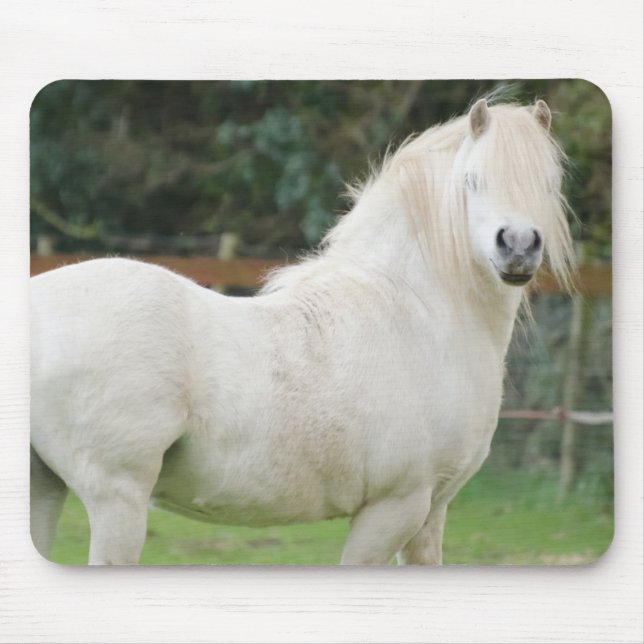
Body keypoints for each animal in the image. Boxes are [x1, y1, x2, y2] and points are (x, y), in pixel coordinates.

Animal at [30, 98, 575, 565]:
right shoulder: (394, 508)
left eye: (549, 182)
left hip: (46, 489)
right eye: (471, 180)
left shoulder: (431, 514)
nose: (518, 246)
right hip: (117, 500)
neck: (416, 311)